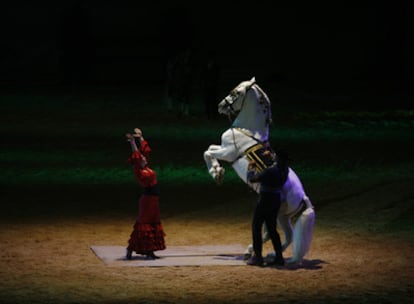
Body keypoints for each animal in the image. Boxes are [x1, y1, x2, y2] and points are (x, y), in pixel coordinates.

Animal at [203, 76, 314, 264]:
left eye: (235, 92)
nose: (221, 105)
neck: (247, 132)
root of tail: (303, 197)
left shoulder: (227, 152)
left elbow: (207, 152)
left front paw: (217, 173)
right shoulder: (224, 149)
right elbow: (210, 148)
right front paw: (217, 171)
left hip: (276, 214)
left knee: (274, 233)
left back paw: (255, 253)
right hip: (281, 216)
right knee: (286, 235)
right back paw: (267, 255)